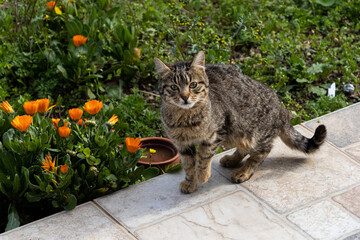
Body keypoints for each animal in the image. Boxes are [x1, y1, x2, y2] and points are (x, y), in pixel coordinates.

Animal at [153, 51, 328, 194]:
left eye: (193, 85)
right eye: (174, 87)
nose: (185, 97)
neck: (185, 118)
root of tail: (282, 109)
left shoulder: (216, 133)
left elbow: (203, 155)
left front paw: (202, 175)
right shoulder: (182, 144)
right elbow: (188, 165)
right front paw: (190, 182)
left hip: (255, 134)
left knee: (262, 152)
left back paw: (243, 171)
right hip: (240, 133)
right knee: (244, 149)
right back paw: (231, 160)